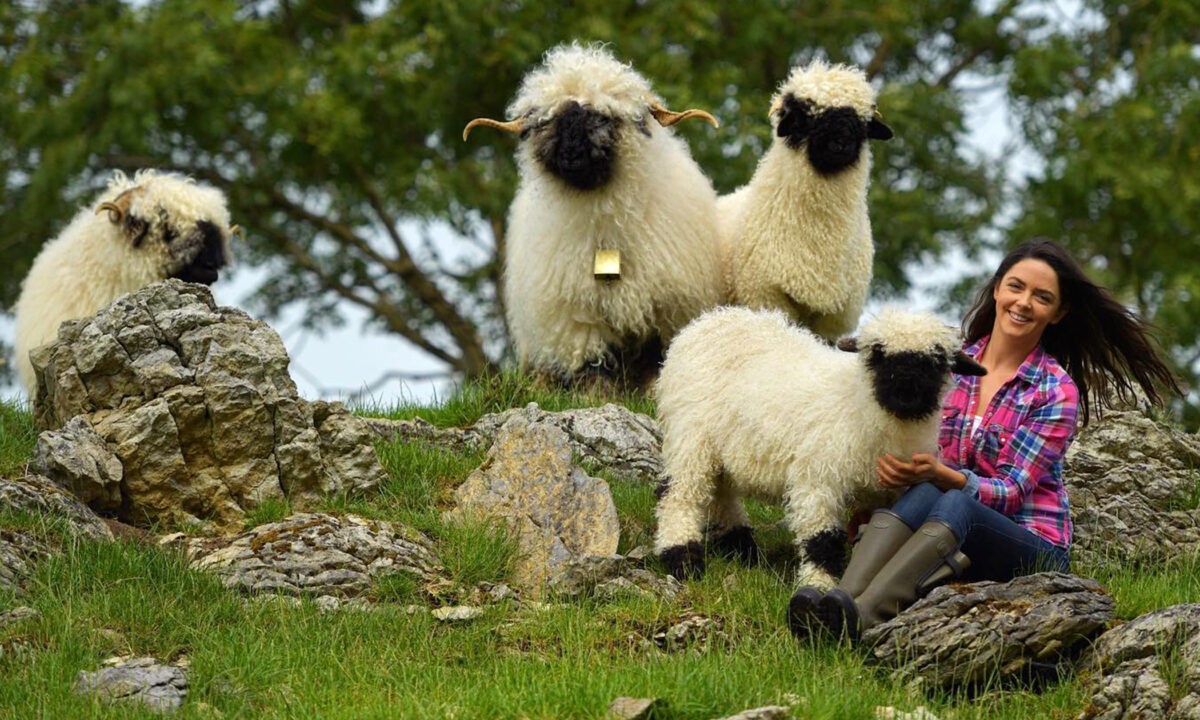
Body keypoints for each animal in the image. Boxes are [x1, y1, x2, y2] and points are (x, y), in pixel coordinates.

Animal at [460, 42, 720, 391]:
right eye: (546, 121)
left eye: (601, 117)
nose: (571, 155)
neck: (604, 222)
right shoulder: (575, 317)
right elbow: (591, 361)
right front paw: (595, 394)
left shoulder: (665, 308)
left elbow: (657, 358)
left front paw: (652, 389)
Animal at [657, 306, 984, 588]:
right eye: (878, 353)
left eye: (937, 359)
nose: (906, 391)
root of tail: (709, 320)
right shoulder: (818, 478)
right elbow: (821, 539)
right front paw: (819, 586)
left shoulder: (892, 493)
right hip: (691, 432)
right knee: (679, 494)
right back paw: (682, 557)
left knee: (721, 492)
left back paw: (741, 549)